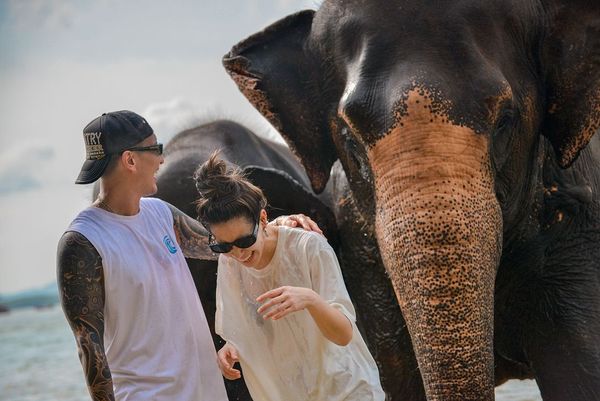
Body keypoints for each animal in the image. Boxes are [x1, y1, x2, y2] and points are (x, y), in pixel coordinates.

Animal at [223, 1, 600, 398]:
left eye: (504, 122)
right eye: (350, 138)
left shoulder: (575, 232)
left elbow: (578, 375)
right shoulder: (363, 255)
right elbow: (398, 378)